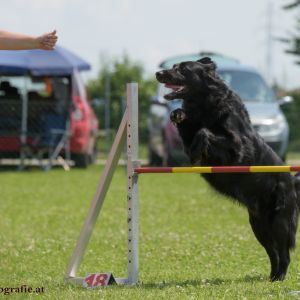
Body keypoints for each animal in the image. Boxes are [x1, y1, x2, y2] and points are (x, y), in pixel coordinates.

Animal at [156, 57, 300, 282]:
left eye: (182, 69)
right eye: (173, 66)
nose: (158, 73)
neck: (205, 103)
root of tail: (293, 181)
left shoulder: (238, 147)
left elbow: (205, 132)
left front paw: (197, 152)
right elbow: (190, 127)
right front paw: (178, 113)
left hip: (280, 221)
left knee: (284, 252)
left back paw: (279, 277)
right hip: (259, 225)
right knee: (273, 252)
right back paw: (271, 277)